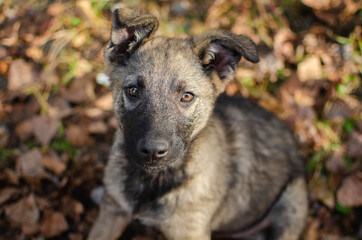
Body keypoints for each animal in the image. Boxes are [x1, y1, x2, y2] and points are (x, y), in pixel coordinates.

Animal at [87, 7, 306, 240]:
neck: (153, 180)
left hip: (293, 202)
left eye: (186, 96)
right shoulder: (112, 211)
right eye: (133, 90)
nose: (153, 151)